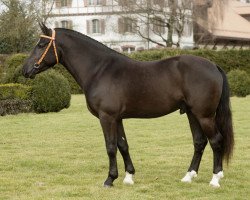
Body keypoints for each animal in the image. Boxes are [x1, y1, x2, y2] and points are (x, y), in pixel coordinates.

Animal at [22, 24, 233, 188]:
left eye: (41, 45)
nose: (24, 70)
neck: (100, 70)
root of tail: (213, 66)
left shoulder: (107, 117)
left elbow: (110, 147)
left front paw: (109, 179)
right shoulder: (117, 118)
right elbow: (123, 145)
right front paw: (129, 177)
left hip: (204, 115)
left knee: (216, 141)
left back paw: (215, 179)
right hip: (191, 113)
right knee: (199, 142)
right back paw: (188, 176)